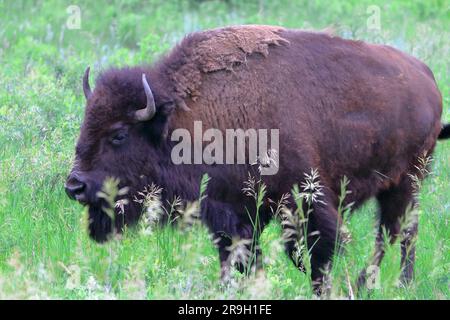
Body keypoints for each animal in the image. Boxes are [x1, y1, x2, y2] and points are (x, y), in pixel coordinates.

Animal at [65, 26, 448, 294]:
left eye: (118, 134)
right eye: (86, 123)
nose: (74, 185)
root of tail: (426, 78)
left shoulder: (304, 199)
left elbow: (316, 253)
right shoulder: (233, 212)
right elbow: (240, 258)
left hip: (406, 180)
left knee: (399, 233)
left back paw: (384, 283)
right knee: (395, 233)